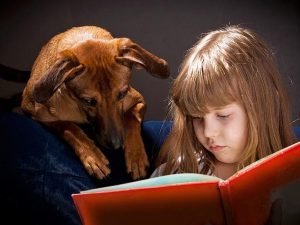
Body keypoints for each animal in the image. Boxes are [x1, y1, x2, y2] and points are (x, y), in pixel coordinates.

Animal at [21, 25, 169, 179]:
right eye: (88, 101)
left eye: (122, 94)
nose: (116, 144)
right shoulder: (37, 114)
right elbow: (69, 127)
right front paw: (93, 156)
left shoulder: (138, 100)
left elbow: (130, 118)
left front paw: (136, 157)